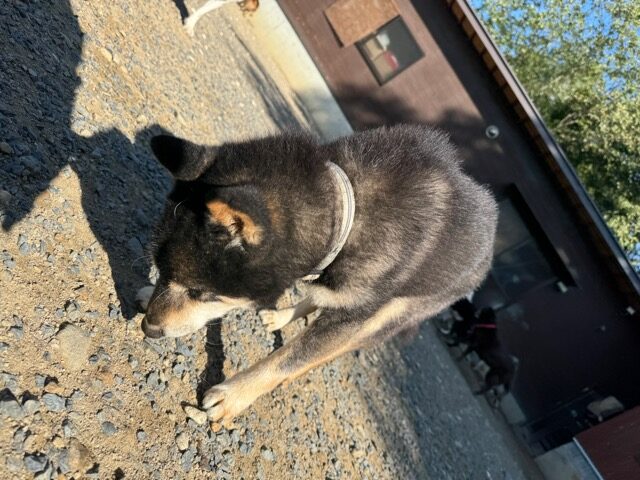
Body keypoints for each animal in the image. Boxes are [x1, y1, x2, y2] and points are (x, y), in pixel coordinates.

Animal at [136, 125, 498, 425]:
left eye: (200, 292)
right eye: (162, 269)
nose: (148, 328)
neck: (348, 212)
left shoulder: (354, 314)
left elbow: (289, 358)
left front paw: (234, 397)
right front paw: (148, 290)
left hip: (394, 315)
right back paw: (280, 316)